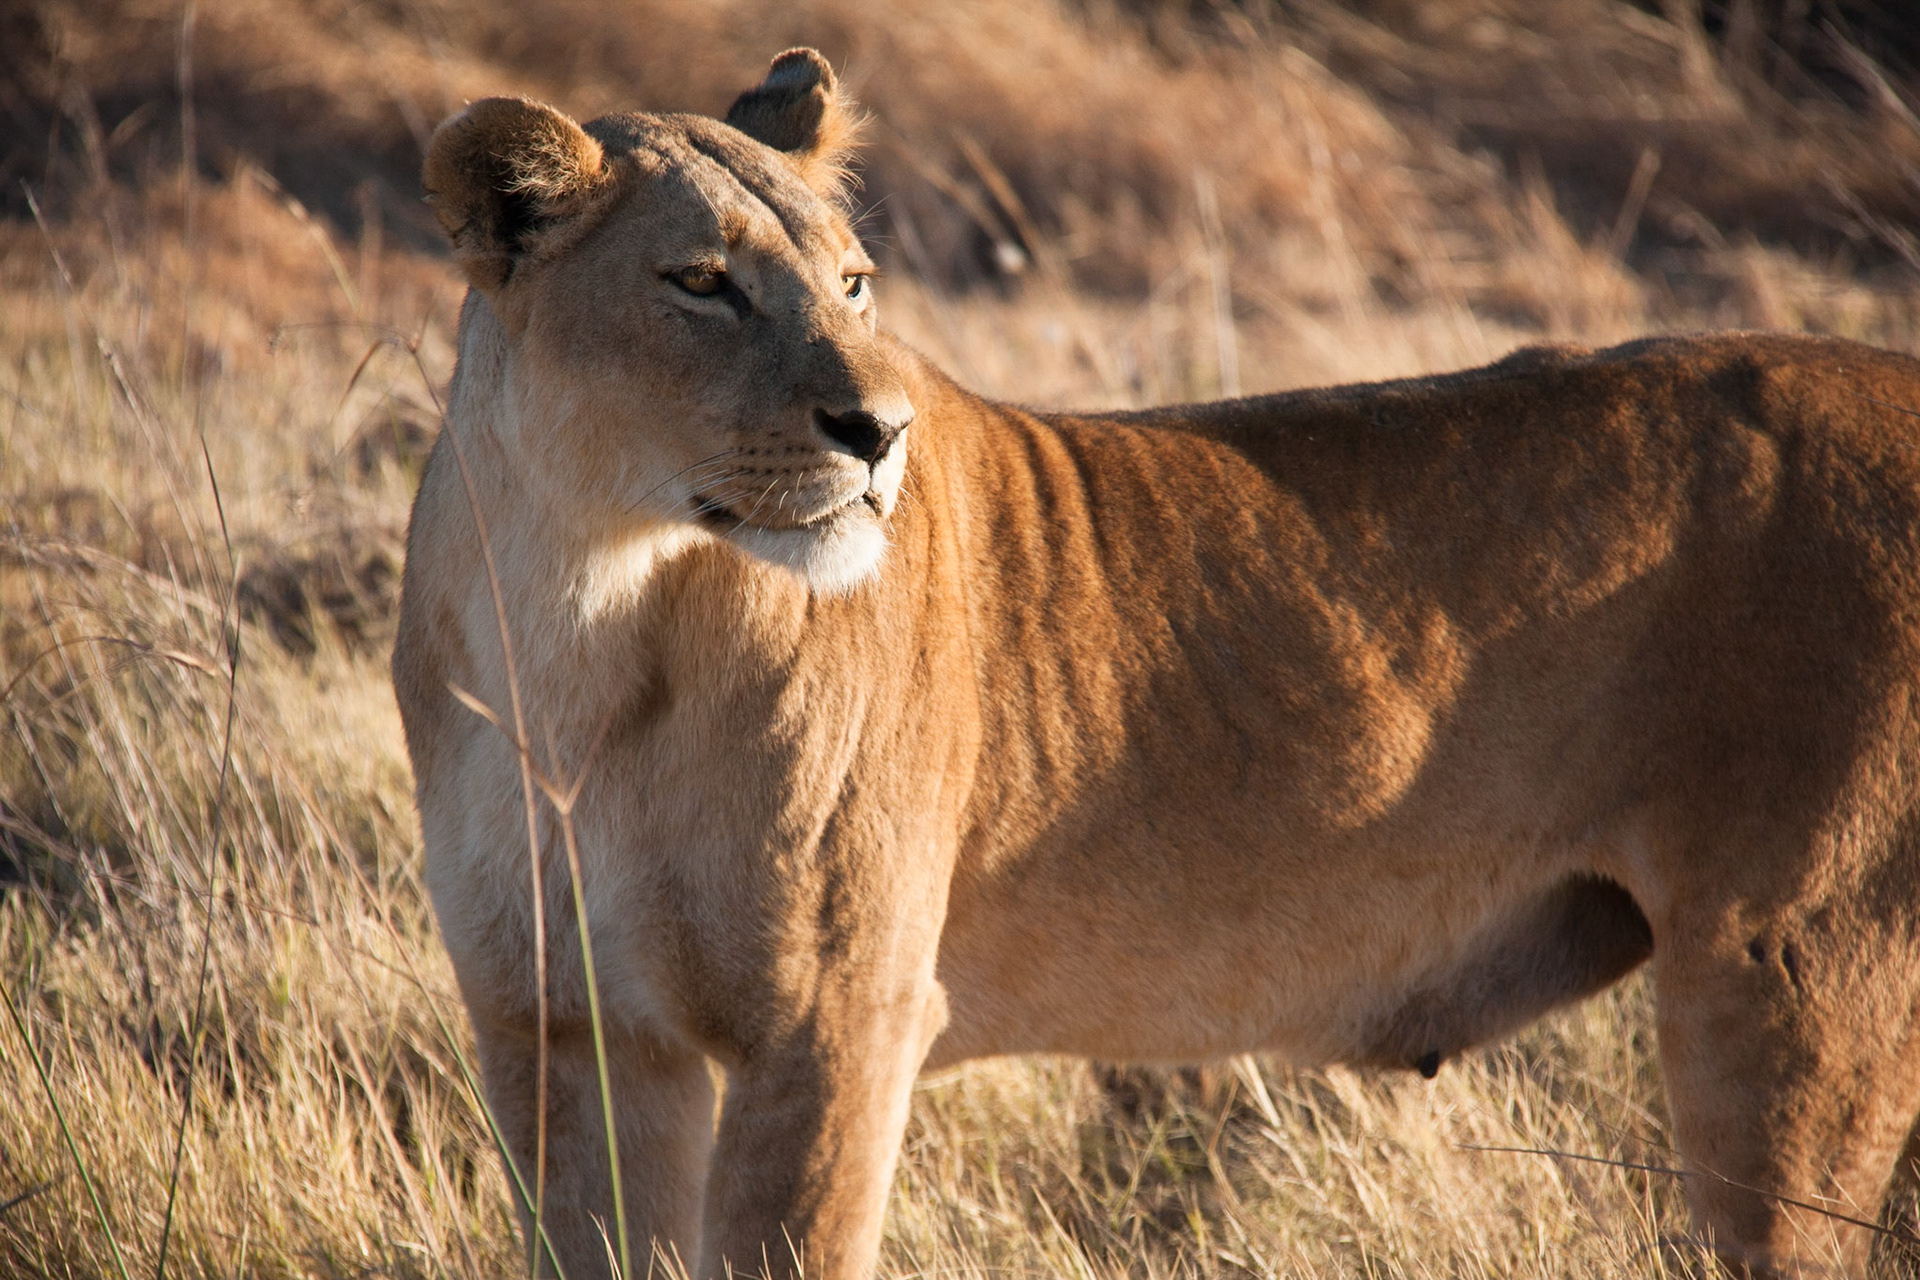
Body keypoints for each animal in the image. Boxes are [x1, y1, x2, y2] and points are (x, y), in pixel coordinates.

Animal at [393, 48, 1920, 1280]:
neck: (589, 616)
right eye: (702, 284)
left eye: (854, 283)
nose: (882, 432)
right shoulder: (559, 1025)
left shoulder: (834, 1024)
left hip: (1795, 984)